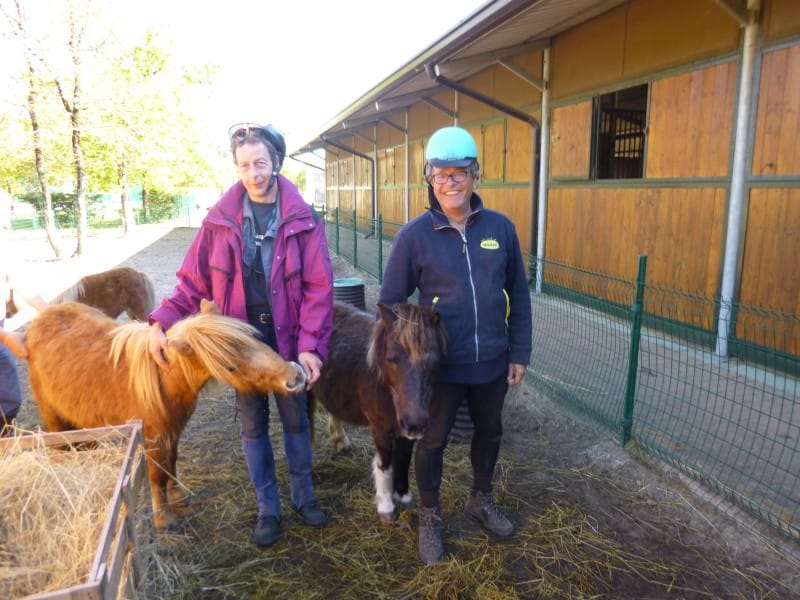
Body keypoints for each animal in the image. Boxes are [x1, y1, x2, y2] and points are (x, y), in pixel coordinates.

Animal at [0, 300, 306, 528]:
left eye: (255, 339)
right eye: (229, 366)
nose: (295, 377)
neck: (163, 380)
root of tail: (31, 330)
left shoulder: (172, 431)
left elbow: (171, 463)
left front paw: (177, 496)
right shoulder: (152, 437)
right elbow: (157, 473)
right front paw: (163, 517)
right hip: (54, 419)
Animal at [308, 302, 446, 524]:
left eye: (435, 362)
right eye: (392, 358)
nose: (416, 424)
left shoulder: (405, 432)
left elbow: (404, 459)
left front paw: (404, 496)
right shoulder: (380, 429)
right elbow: (385, 463)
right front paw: (386, 506)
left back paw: (341, 442)